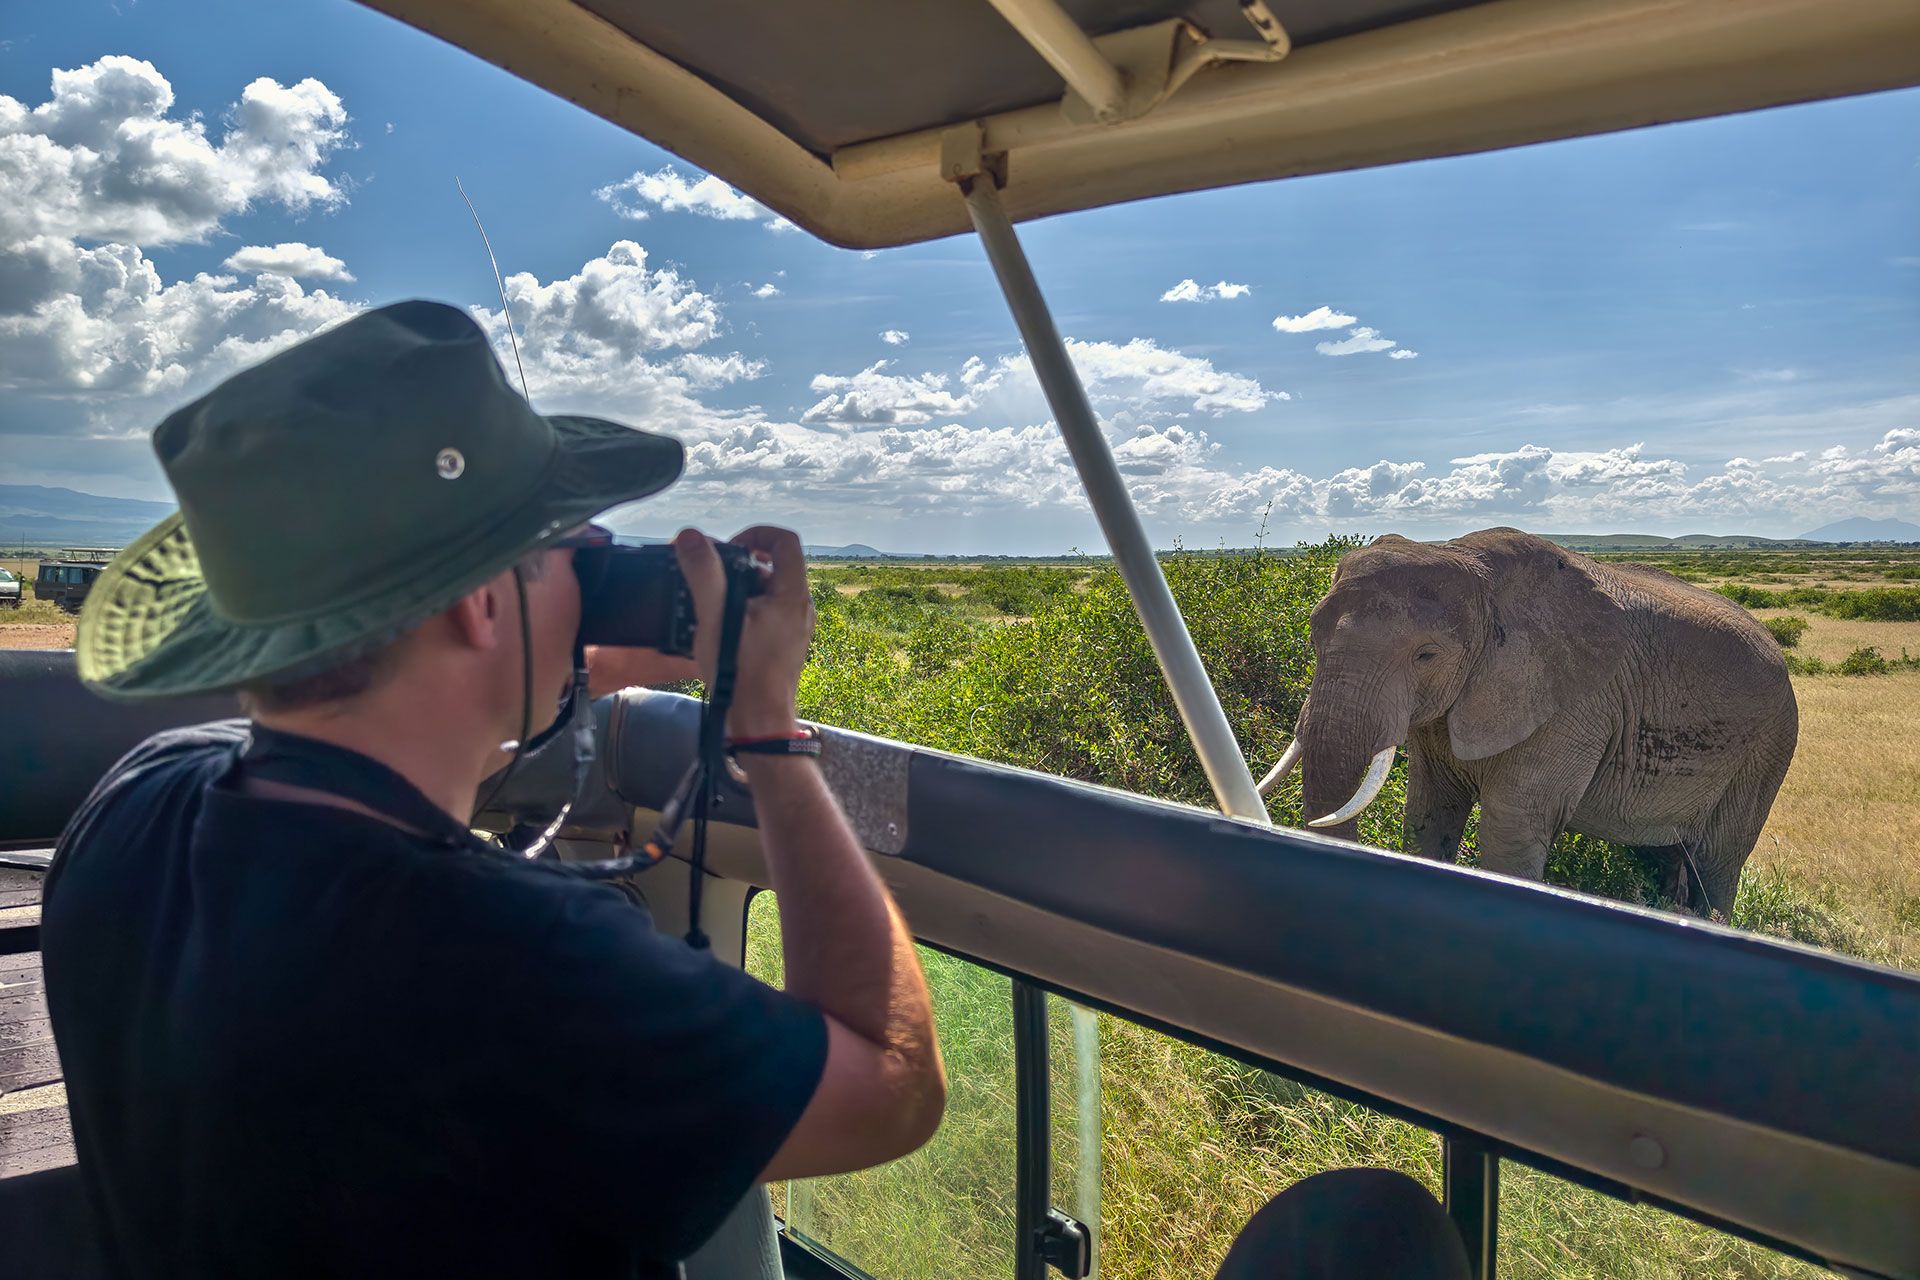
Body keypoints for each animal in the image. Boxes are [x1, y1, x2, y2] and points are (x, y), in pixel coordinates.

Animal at [1259, 525, 1797, 917]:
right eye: (1313, 630)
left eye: (1426, 655)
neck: (1468, 563)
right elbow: (1430, 812)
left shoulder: (1575, 703)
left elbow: (1509, 832)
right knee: (1664, 854)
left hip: (1768, 750)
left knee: (1716, 865)